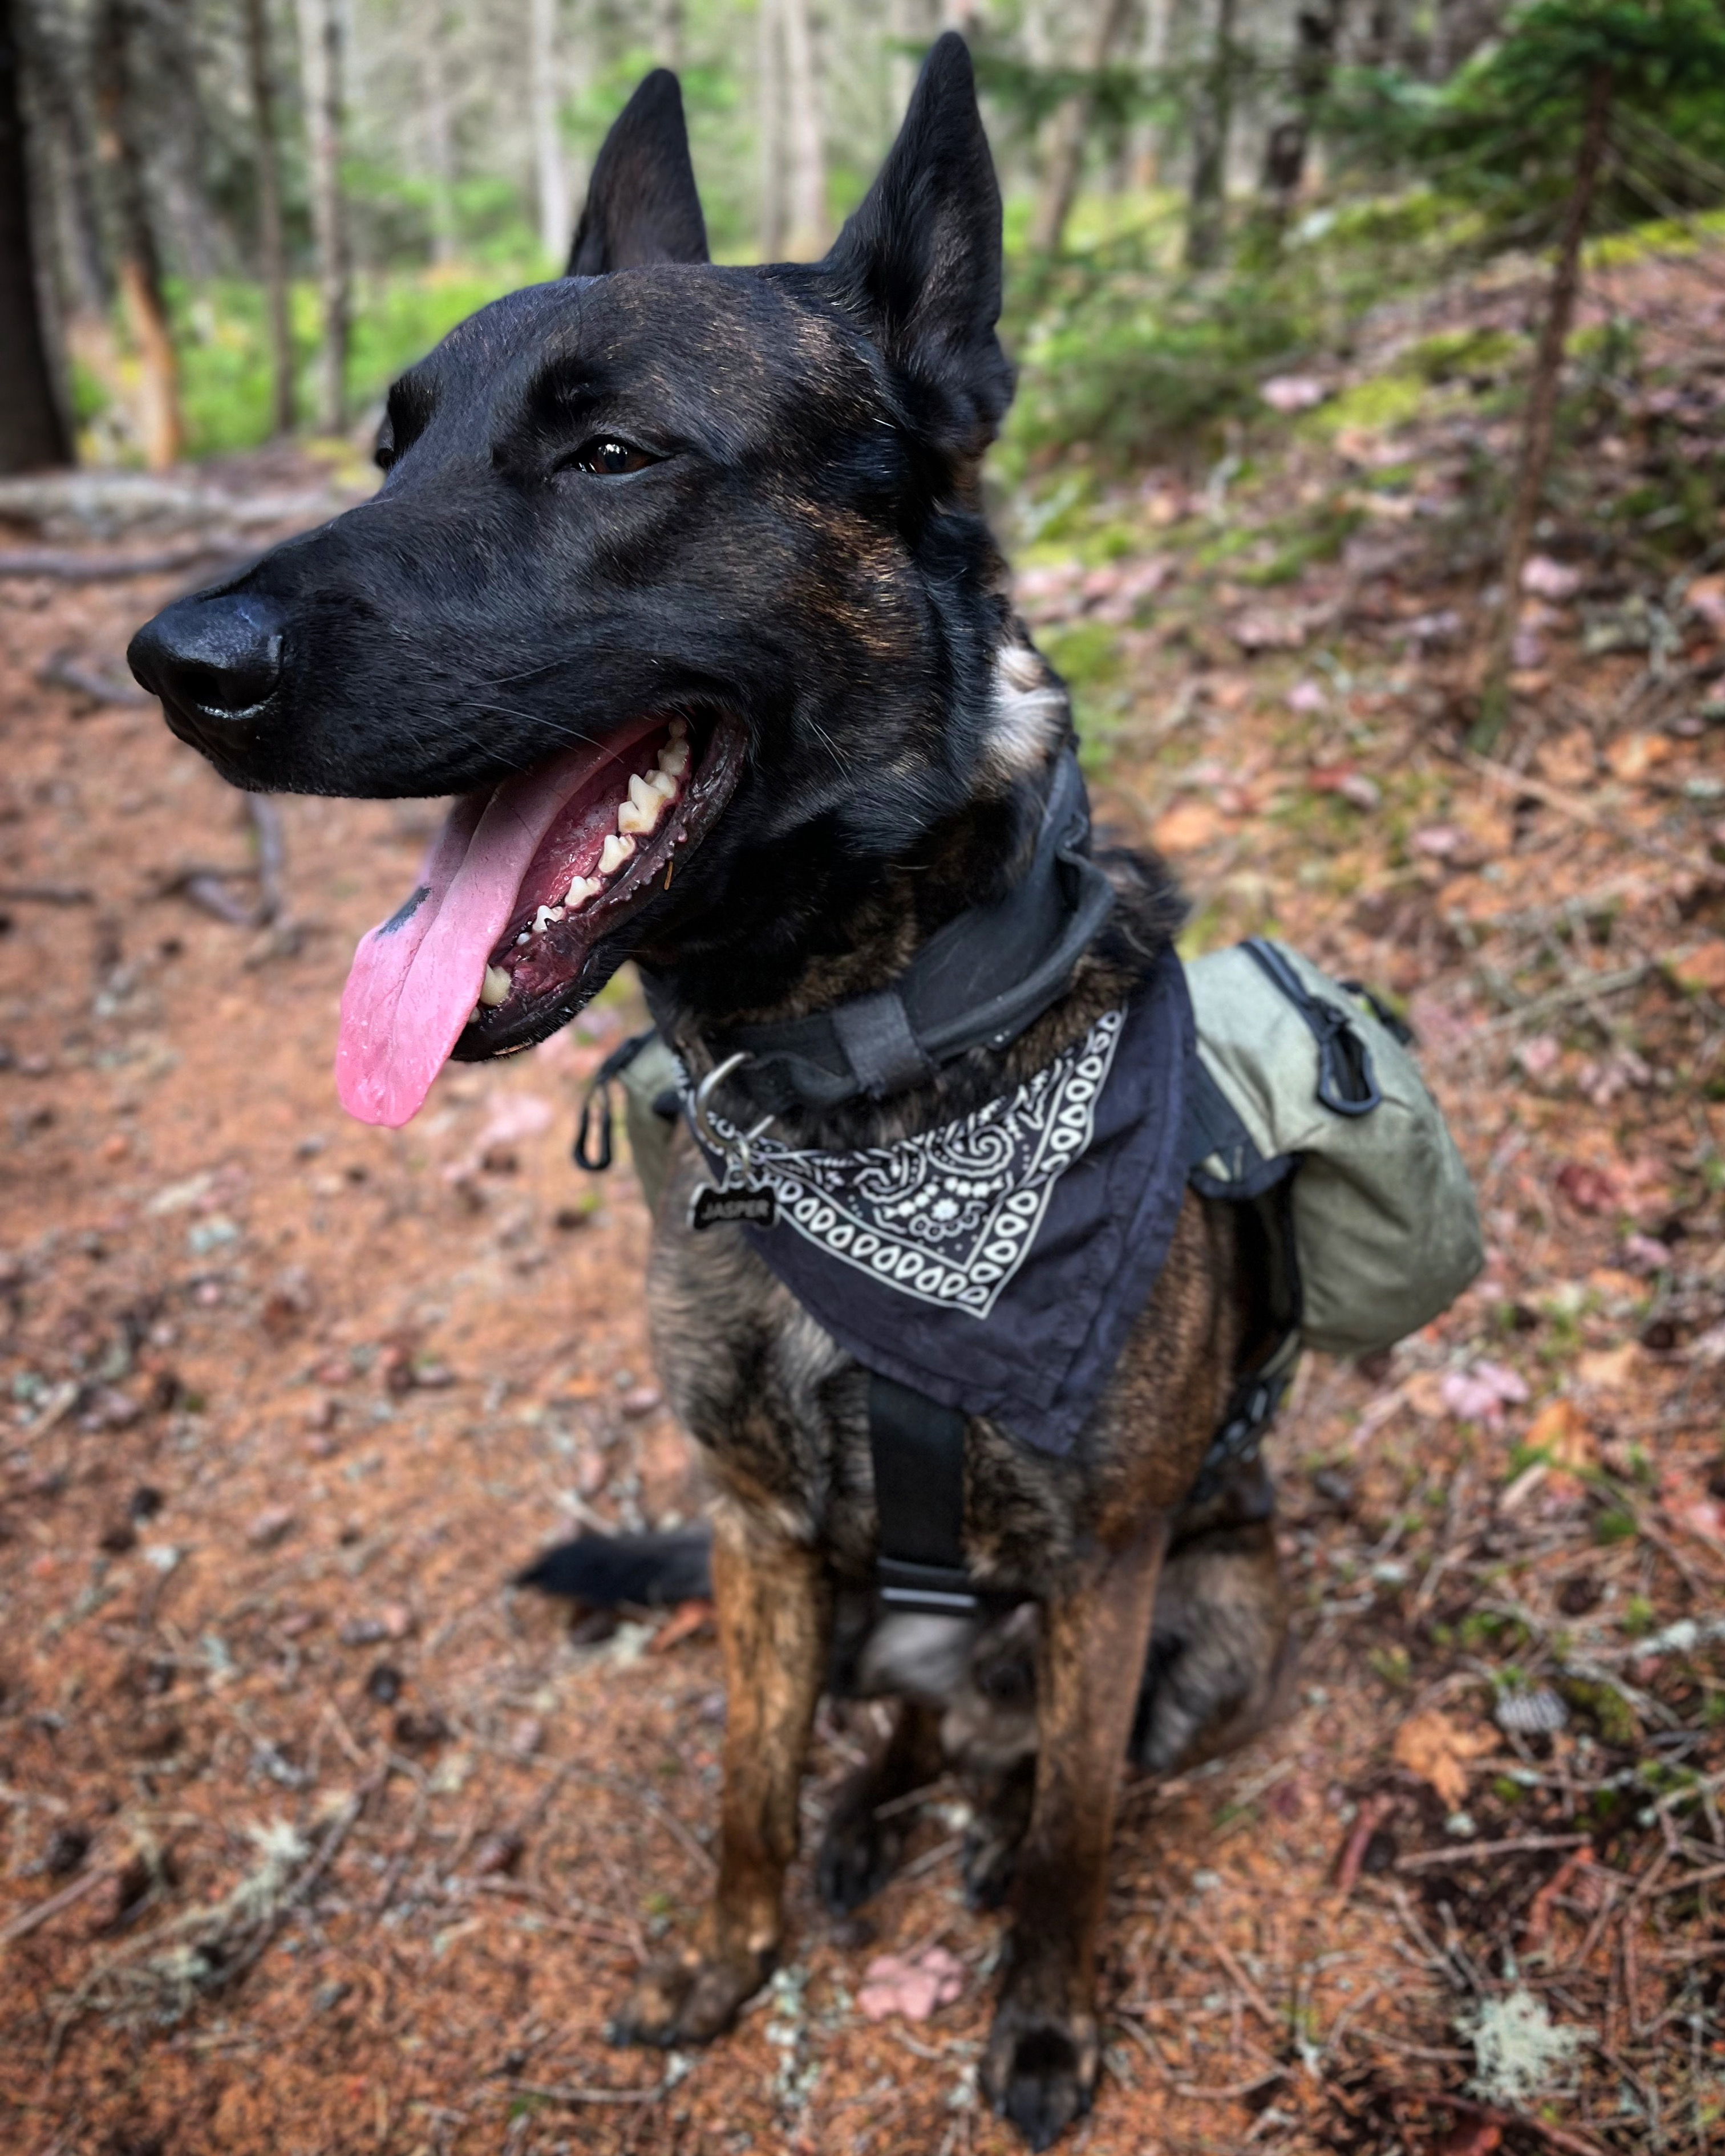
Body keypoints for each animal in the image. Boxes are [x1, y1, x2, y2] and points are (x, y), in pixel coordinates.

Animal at [129, 38, 1291, 2147]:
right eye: (390, 447)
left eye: (611, 455)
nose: (173, 665)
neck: (851, 1071)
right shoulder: (754, 1528)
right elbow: (741, 1789)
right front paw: (728, 1957)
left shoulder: (1106, 1570)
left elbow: (1080, 1832)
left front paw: (1044, 2016)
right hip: (863, 1604)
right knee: (903, 1729)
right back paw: (874, 1824)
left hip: (1218, 1618)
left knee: (1026, 1761)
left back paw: (967, 1838)